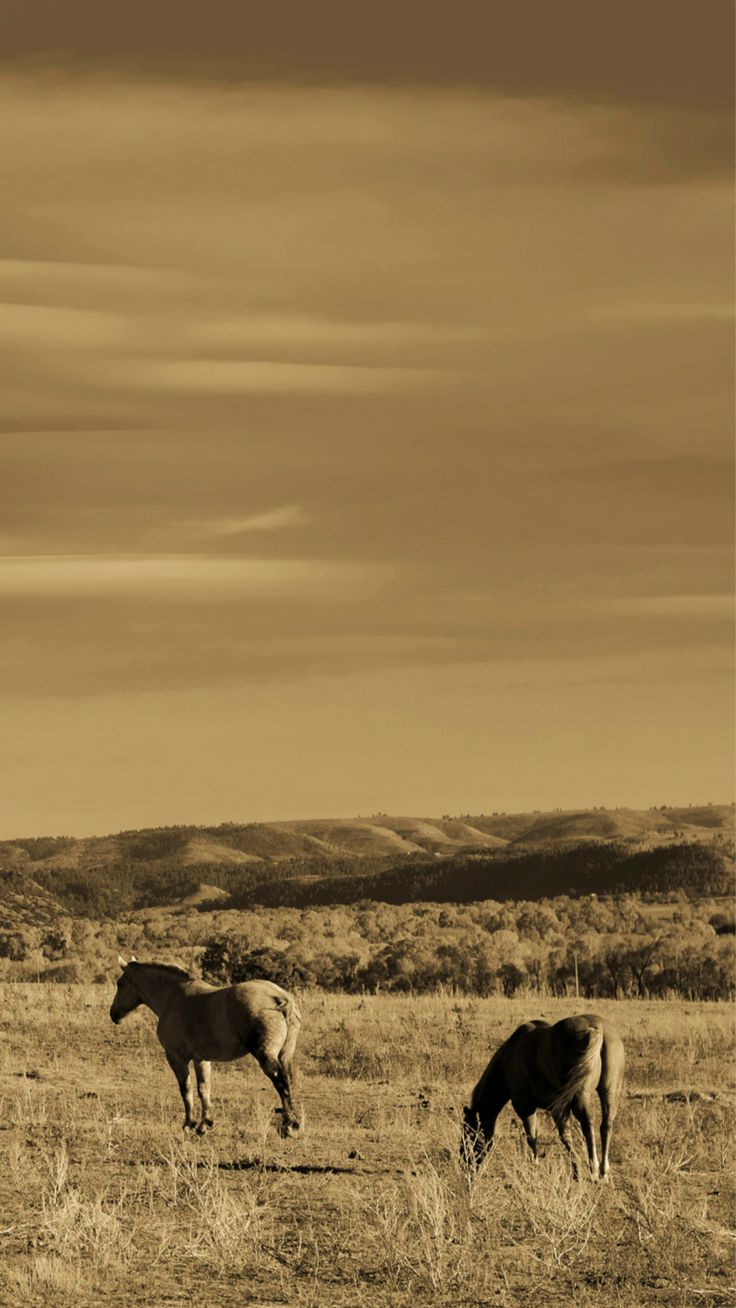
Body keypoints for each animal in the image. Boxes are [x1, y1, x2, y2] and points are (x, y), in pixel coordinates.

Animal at [110, 956, 303, 1137]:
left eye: (120, 983)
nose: (113, 1014)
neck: (171, 996)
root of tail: (279, 996)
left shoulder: (176, 1058)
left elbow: (186, 1090)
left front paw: (189, 1124)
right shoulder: (201, 1059)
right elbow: (204, 1089)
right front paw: (205, 1124)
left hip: (266, 1056)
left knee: (281, 1082)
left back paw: (289, 1126)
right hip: (285, 1056)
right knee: (289, 1081)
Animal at [461, 1014, 624, 1179]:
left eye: (469, 1132)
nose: (466, 1163)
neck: (509, 1057)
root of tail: (598, 1029)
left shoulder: (526, 1107)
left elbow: (533, 1137)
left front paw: (536, 1165)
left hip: (580, 1097)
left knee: (588, 1125)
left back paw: (594, 1169)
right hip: (609, 1092)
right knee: (606, 1125)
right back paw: (603, 1171)